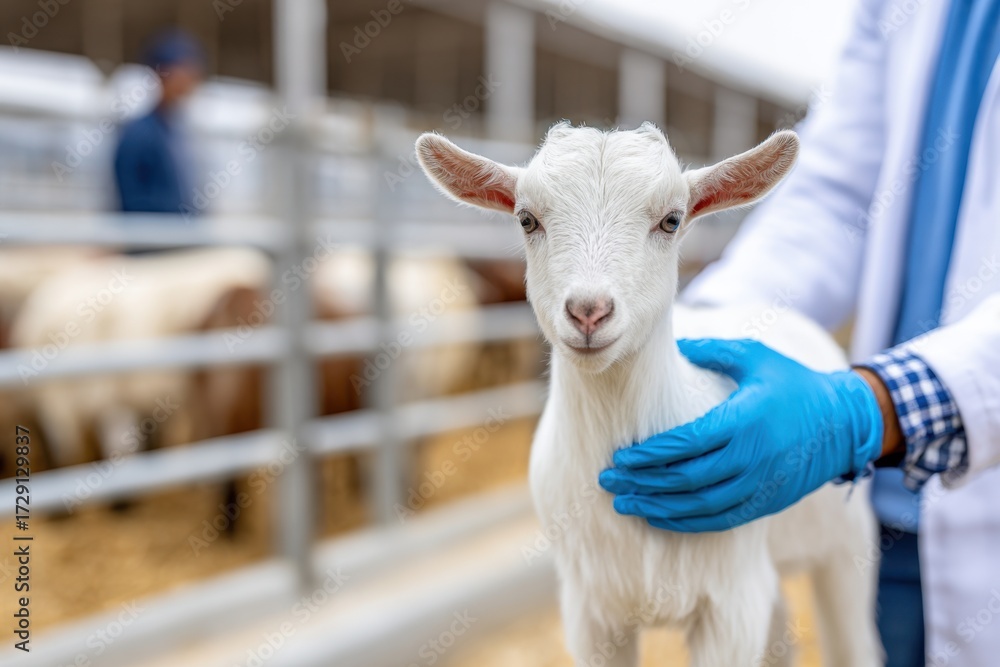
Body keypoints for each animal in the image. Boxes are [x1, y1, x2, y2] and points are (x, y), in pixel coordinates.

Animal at [416, 123, 881, 667]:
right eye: (527, 219)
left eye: (671, 220)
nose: (589, 311)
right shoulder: (590, 610)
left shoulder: (730, 603)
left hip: (846, 544)